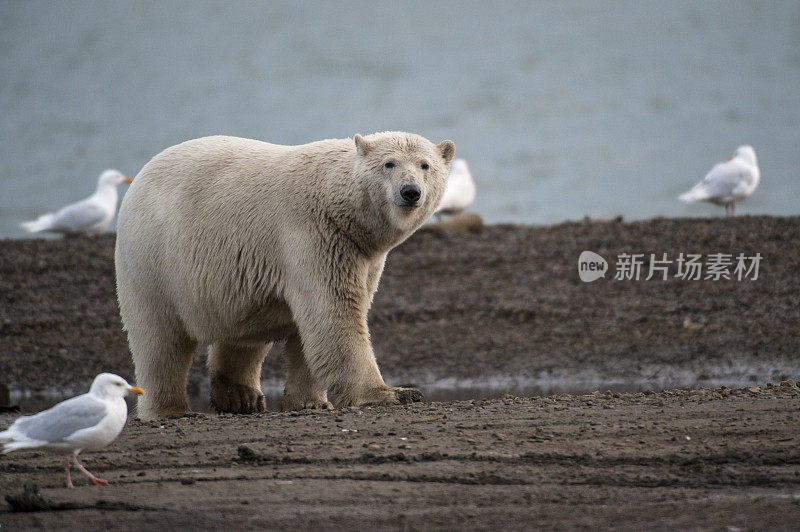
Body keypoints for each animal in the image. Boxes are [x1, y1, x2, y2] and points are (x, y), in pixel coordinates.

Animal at [115, 131, 454, 418]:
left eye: (425, 165)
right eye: (389, 163)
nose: (410, 192)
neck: (339, 206)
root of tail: (138, 179)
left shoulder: (362, 254)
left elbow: (312, 329)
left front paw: (310, 402)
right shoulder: (313, 235)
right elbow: (334, 313)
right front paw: (394, 392)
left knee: (245, 329)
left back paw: (242, 397)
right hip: (154, 261)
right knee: (160, 340)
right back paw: (171, 409)